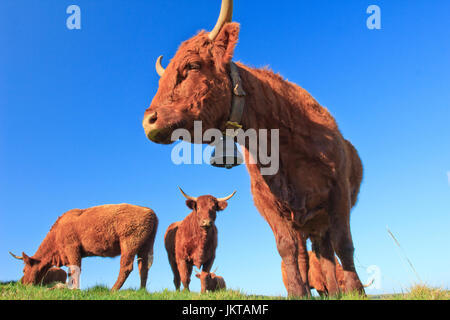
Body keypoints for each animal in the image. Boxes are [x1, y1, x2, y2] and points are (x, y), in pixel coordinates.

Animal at [8, 204, 158, 292]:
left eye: (24, 269)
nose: (22, 284)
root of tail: (149, 211)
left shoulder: (72, 249)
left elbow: (75, 270)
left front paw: (74, 290)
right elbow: (71, 271)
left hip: (129, 244)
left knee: (126, 267)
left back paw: (113, 290)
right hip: (145, 246)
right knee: (143, 268)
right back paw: (141, 291)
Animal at [144, 0, 366, 298]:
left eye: (192, 65)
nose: (148, 120)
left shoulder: (338, 192)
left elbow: (345, 243)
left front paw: (356, 290)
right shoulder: (268, 205)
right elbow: (287, 249)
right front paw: (298, 292)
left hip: (321, 220)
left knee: (329, 251)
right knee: (316, 256)